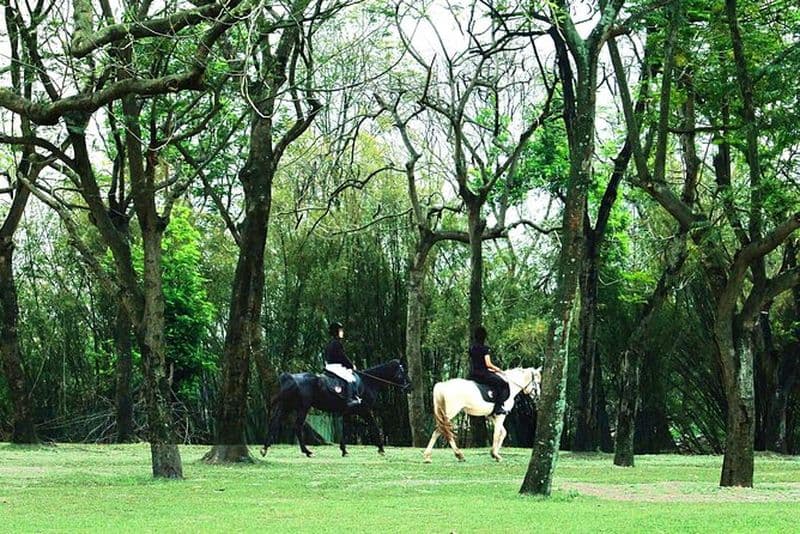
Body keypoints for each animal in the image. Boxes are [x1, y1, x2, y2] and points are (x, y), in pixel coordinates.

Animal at [261, 359, 411, 458]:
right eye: (403, 372)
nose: (410, 387)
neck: (368, 382)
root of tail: (290, 377)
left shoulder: (348, 412)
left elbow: (345, 429)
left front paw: (344, 450)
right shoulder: (365, 410)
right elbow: (373, 426)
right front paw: (381, 449)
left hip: (286, 406)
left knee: (274, 422)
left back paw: (265, 449)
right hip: (303, 408)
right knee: (297, 426)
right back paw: (307, 451)